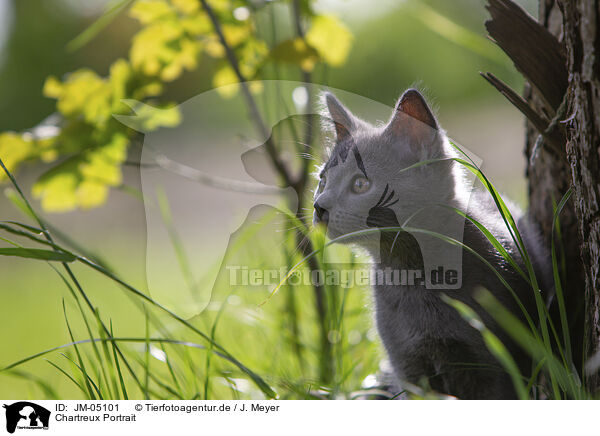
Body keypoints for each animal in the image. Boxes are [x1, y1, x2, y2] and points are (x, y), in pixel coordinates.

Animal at [312, 90, 552, 400]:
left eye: (360, 184)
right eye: (322, 180)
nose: (319, 206)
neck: (413, 277)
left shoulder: (499, 362)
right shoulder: (408, 366)